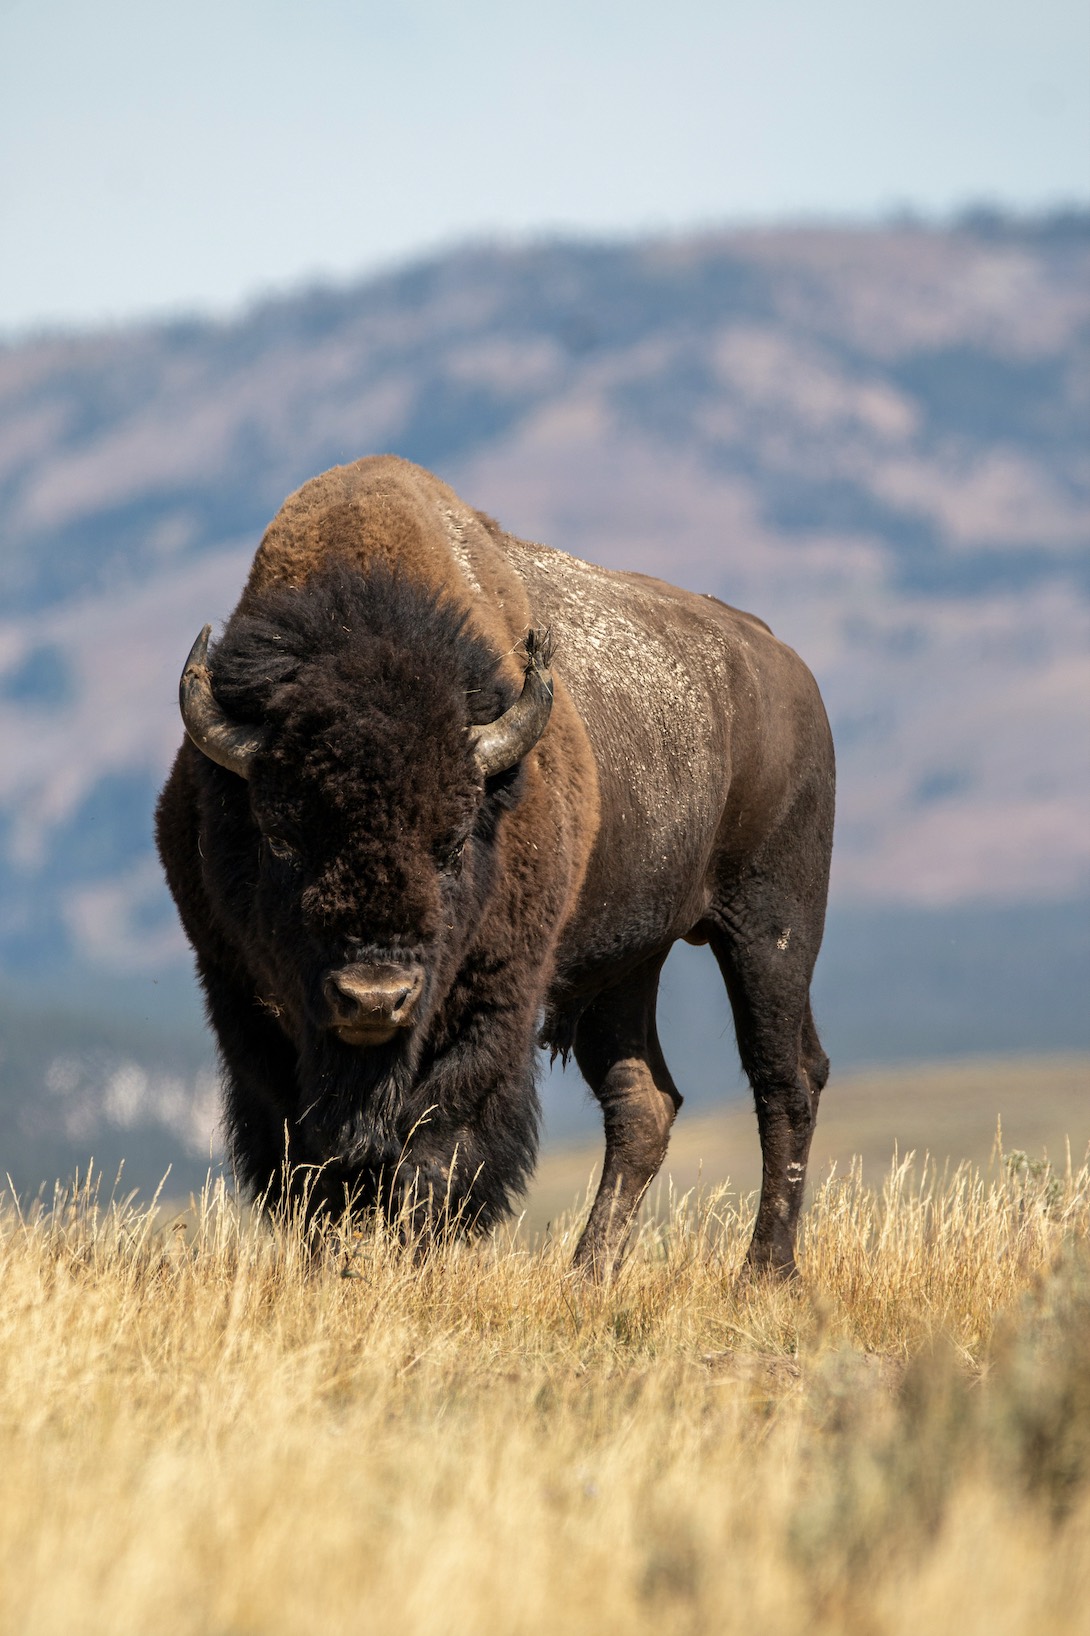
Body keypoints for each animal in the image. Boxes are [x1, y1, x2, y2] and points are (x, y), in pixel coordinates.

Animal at [156, 456, 834, 1277]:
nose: (374, 998)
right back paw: (587, 1274)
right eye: (281, 839)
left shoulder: (494, 996)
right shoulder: (241, 994)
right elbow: (303, 1157)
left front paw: (412, 1261)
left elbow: (438, 1141)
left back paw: (764, 1273)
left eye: (451, 842)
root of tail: (783, 663)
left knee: (784, 1080)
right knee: (643, 1101)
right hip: (626, 965)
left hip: (771, 929)